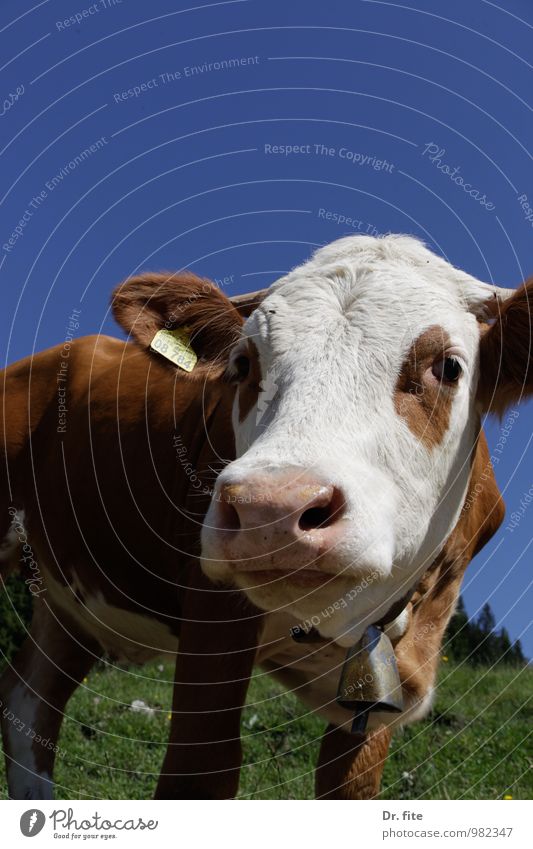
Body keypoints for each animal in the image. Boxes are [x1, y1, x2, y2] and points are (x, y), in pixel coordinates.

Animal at [0, 234, 528, 800]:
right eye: (242, 363)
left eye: (448, 366)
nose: (269, 510)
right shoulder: (213, 616)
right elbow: (201, 769)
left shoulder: (380, 682)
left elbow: (349, 787)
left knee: (31, 697)